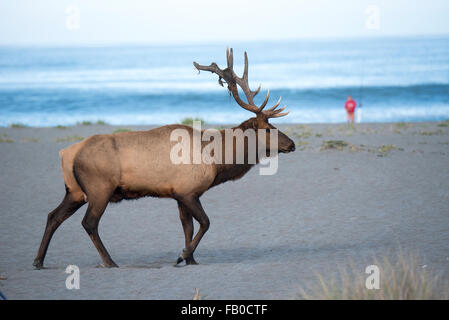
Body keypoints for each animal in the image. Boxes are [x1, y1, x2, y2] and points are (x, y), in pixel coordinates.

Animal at [33, 48, 296, 268]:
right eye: (267, 128)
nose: (291, 144)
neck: (216, 161)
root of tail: (67, 154)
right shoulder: (187, 191)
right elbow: (205, 223)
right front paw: (182, 255)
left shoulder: (180, 194)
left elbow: (188, 227)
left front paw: (191, 259)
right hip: (100, 188)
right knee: (89, 223)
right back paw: (109, 261)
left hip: (75, 191)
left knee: (53, 216)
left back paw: (38, 261)